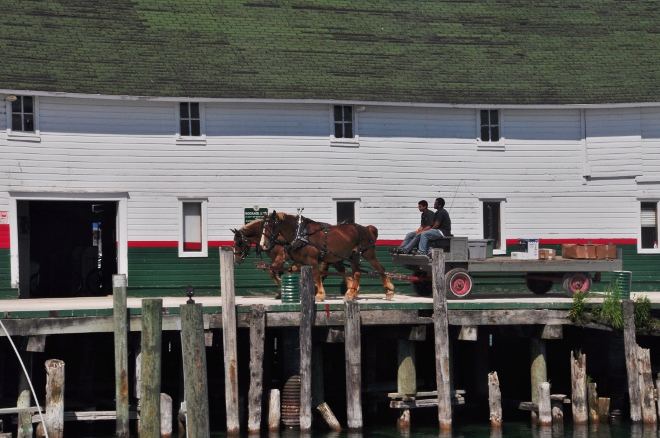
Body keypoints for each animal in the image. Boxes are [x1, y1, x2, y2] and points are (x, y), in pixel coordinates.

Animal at [258, 211, 394, 302]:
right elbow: (291, 272)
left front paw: (319, 294)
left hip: (368, 253)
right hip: (354, 256)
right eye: (262, 226)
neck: (300, 234)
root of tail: (367, 228)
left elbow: (317, 276)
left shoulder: (313, 260)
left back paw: (388, 291)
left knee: (380, 269)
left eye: (271, 226)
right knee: (357, 273)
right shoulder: (299, 262)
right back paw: (351, 293)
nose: (263, 244)